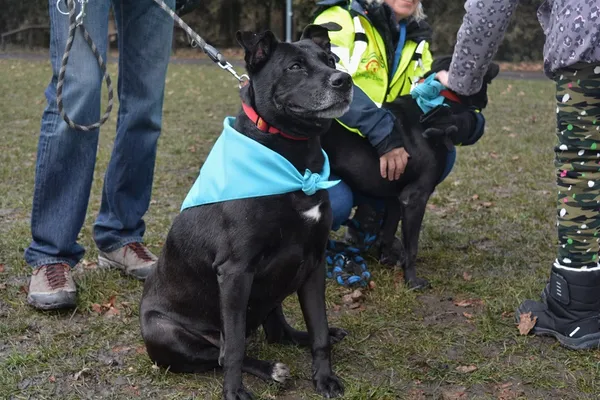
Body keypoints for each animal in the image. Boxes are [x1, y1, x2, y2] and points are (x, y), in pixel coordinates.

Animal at [141, 23, 352, 398]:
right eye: (295, 67)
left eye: (330, 60)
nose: (344, 80)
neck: (294, 158)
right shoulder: (236, 271)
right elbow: (236, 345)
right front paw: (234, 391)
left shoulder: (315, 261)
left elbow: (319, 329)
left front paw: (324, 378)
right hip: (164, 330)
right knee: (219, 352)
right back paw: (269, 370)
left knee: (276, 331)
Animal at [322, 57, 500, 290]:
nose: (496, 64)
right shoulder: (415, 197)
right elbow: (412, 247)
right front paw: (412, 280)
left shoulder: (395, 198)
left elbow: (388, 232)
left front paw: (387, 258)